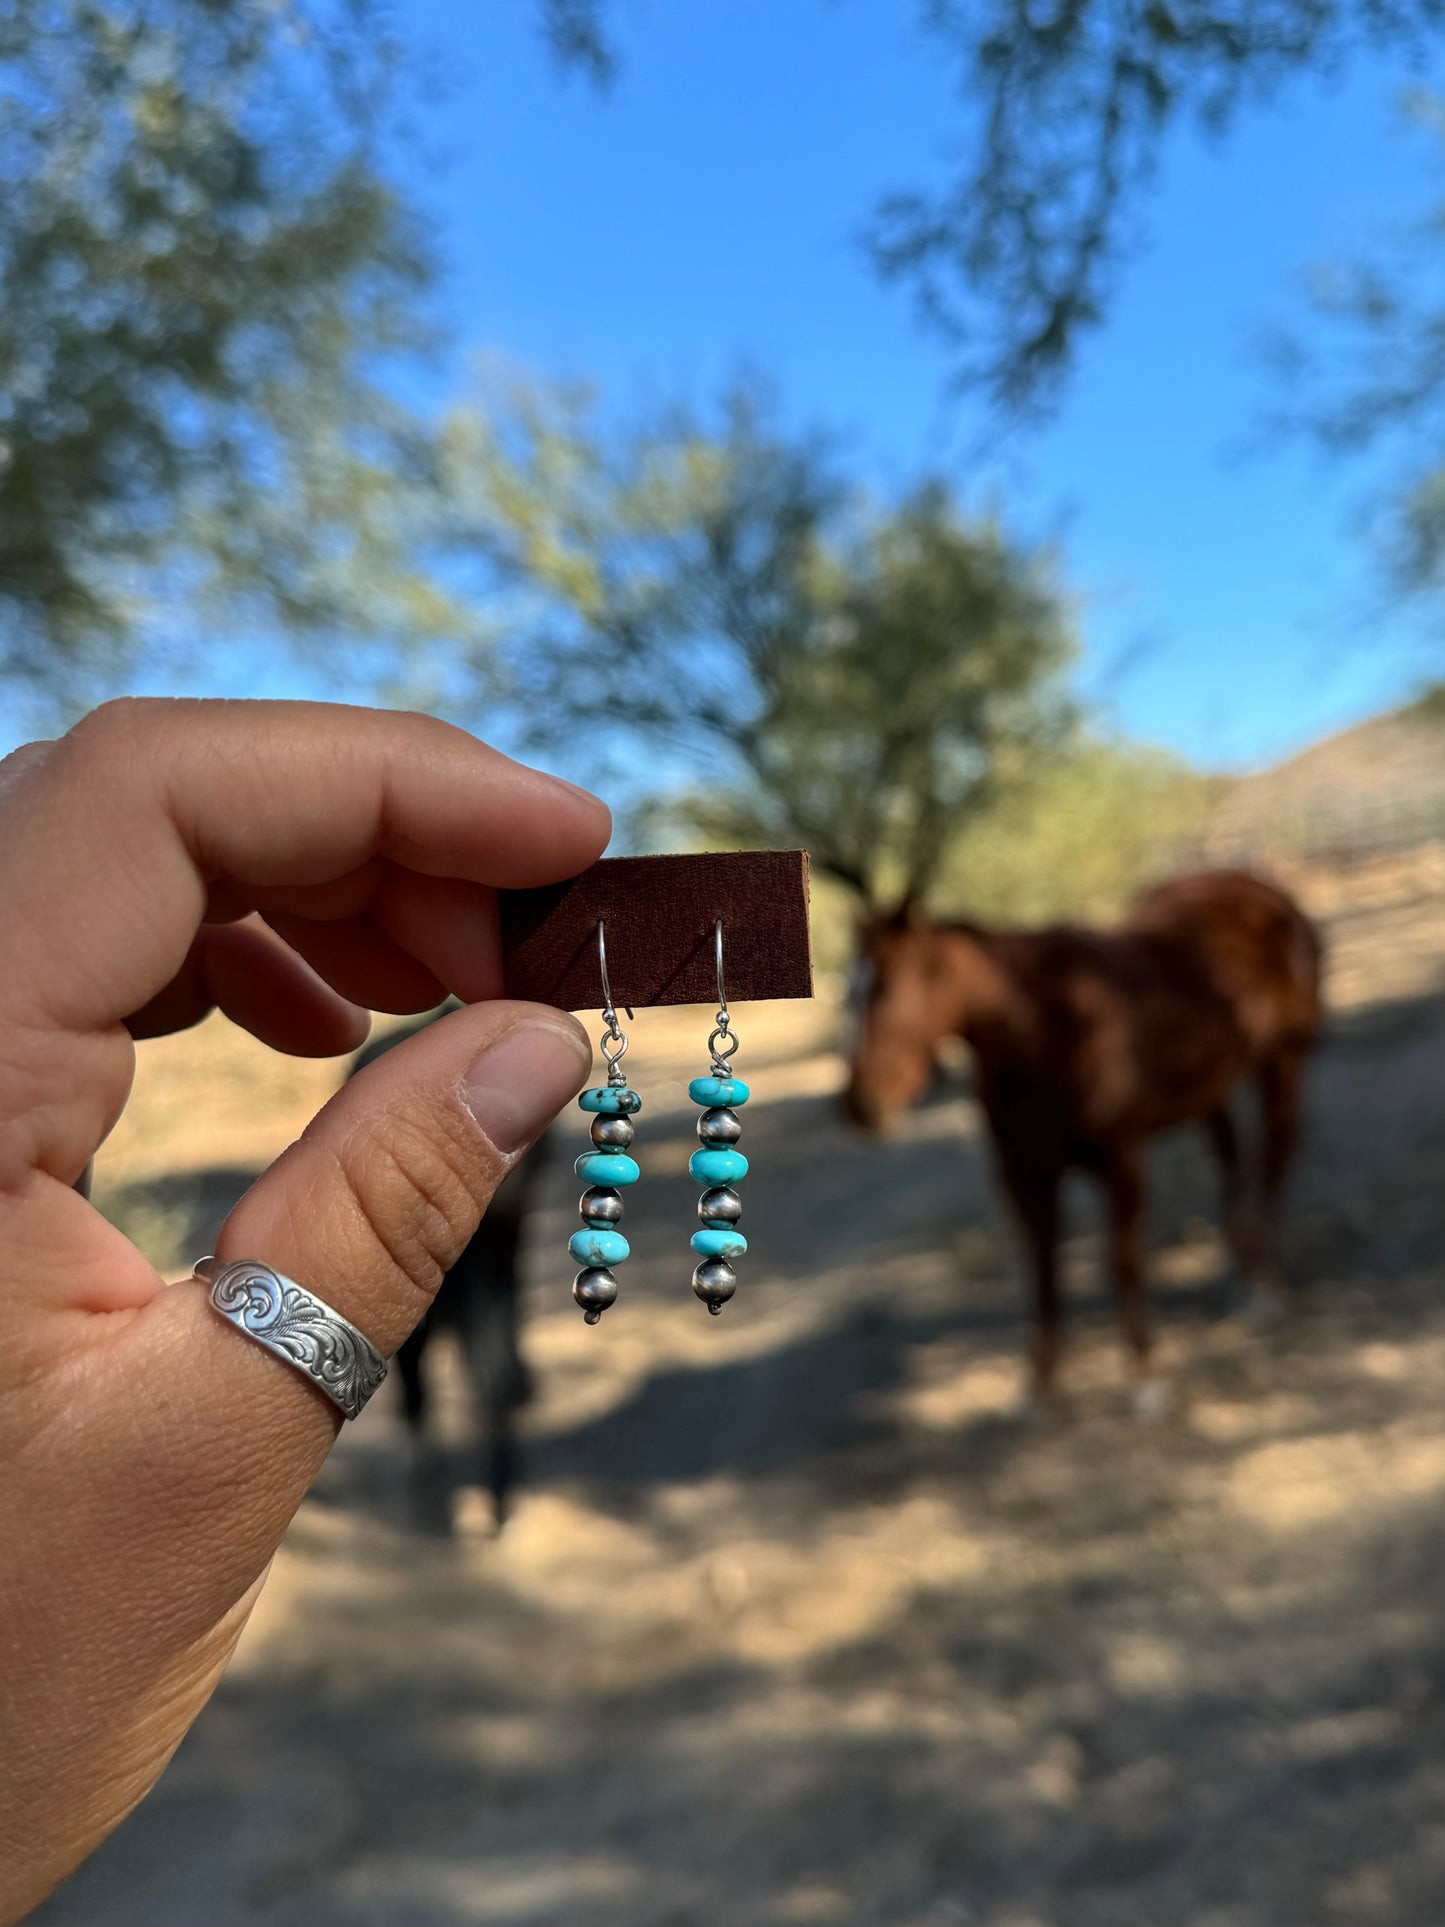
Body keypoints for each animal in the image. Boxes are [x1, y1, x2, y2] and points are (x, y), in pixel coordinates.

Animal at [843, 874, 1333, 1402]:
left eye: (888, 986)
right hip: (1210, 1086)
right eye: (849, 995)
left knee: (1275, 1158)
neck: (1045, 1031)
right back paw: (1244, 1268)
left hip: (1282, 1061)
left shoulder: (1120, 1160)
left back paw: (1266, 1285)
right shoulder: (1024, 1174)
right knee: (1232, 1157)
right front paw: (1042, 1383)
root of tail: (1265, 891)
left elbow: (1122, 1260)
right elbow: (1043, 1266)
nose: (860, 1106)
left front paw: (1145, 1377)